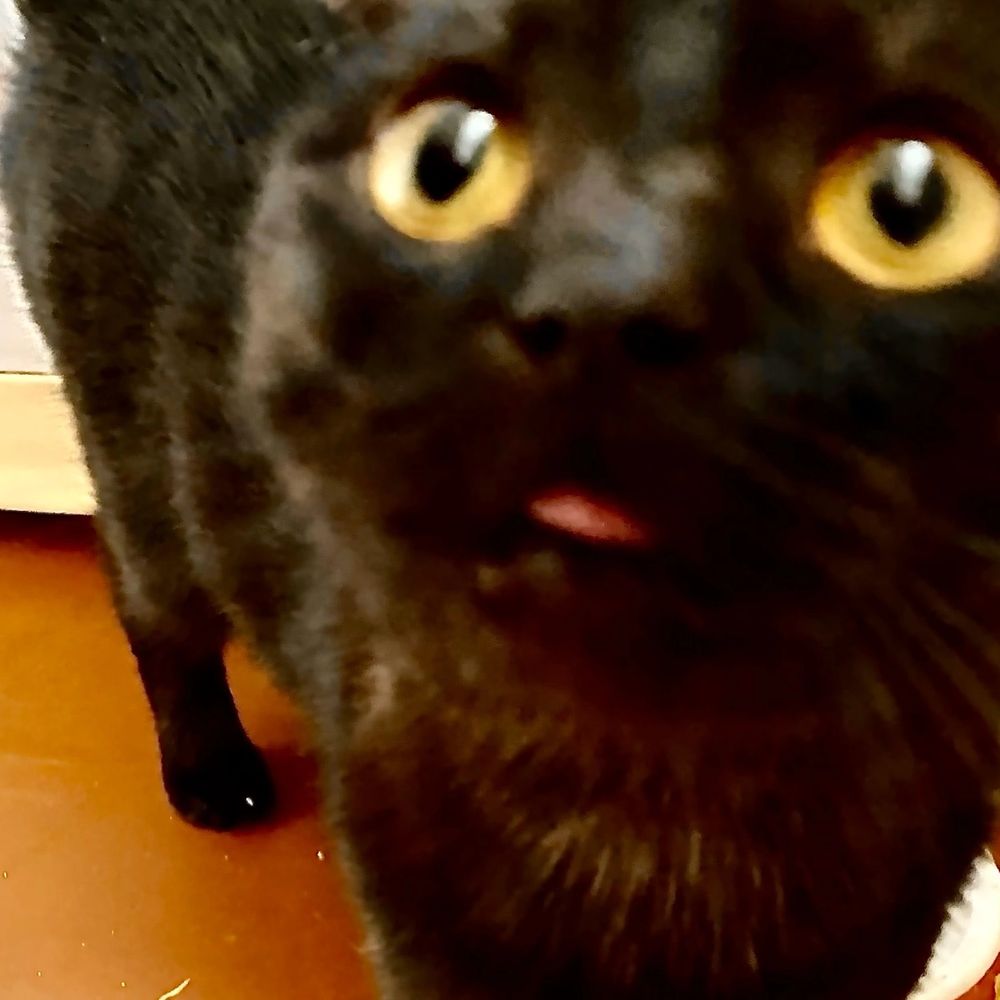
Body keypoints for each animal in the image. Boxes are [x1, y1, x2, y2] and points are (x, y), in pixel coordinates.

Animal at [4, 0, 1000, 996]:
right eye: (447, 165)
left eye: (910, 209)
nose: (607, 294)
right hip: (136, 454)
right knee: (151, 603)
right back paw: (211, 770)